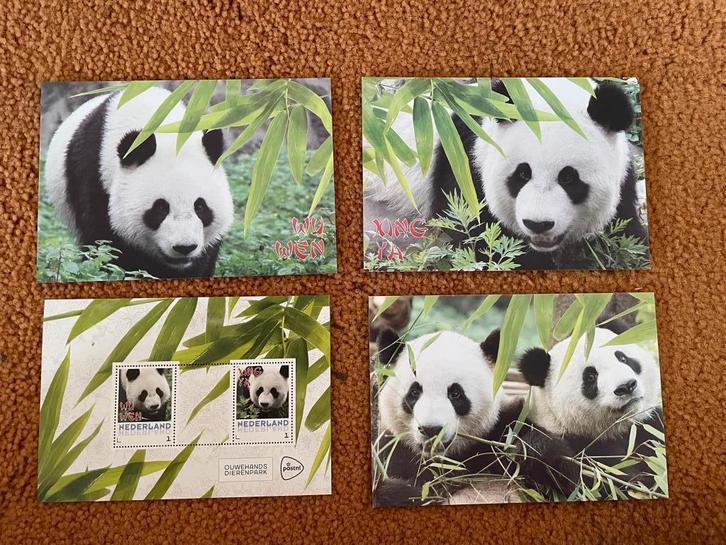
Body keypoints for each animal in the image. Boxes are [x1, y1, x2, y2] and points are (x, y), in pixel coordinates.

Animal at [364, 78, 647, 269]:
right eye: (522, 174)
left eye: (568, 178)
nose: (538, 224)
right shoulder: (466, 167)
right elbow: (478, 241)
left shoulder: (623, 183)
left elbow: (630, 235)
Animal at [515, 327, 664, 498]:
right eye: (591, 376)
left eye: (623, 358)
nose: (627, 386)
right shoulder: (584, 447)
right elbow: (601, 484)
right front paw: (541, 448)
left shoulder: (648, 428)